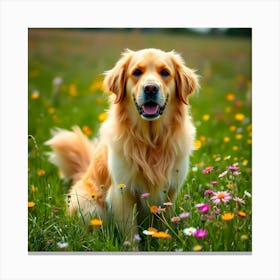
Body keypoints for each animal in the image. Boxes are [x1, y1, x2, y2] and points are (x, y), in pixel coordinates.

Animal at [46, 48, 198, 238]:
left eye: (165, 72)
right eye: (137, 72)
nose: (150, 88)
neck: (151, 140)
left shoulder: (170, 191)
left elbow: (164, 227)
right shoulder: (122, 192)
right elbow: (130, 234)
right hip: (92, 208)